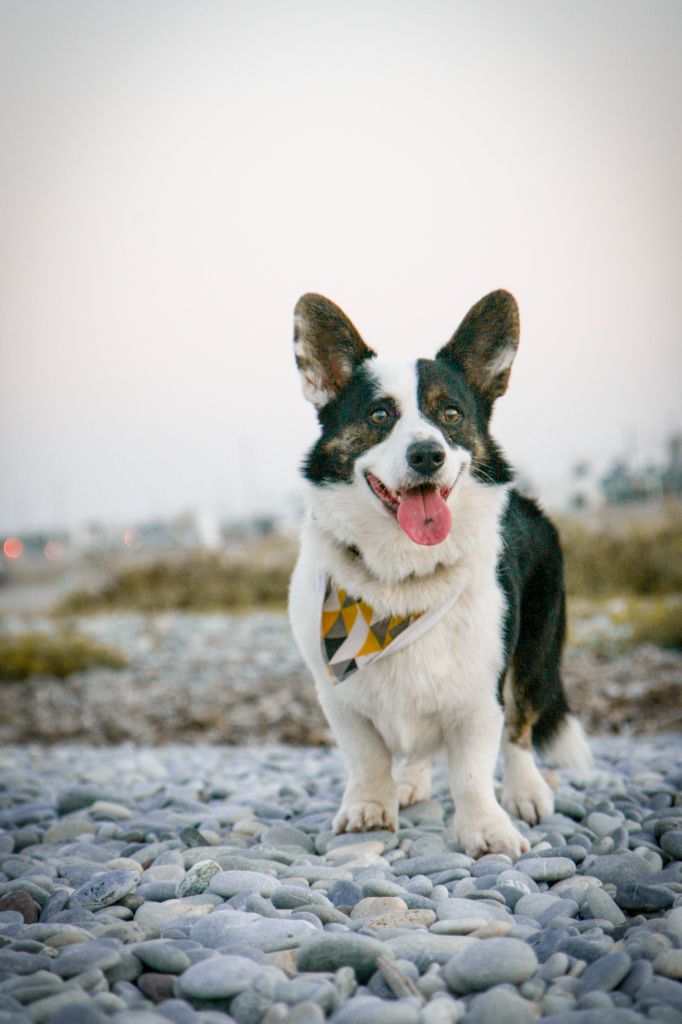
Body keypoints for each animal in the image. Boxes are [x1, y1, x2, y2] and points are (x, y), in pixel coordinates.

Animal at [286, 288, 589, 856]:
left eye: (450, 413)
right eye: (380, 415)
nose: (427, 454)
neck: (400, 580)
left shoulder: (480, 696)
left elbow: (473, 771)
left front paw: (487, 831)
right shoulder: (338, 696)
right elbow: (368, 757)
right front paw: (370, 809)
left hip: (534, 653)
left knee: (521, 727)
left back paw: (526, 793)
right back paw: (410, 783)